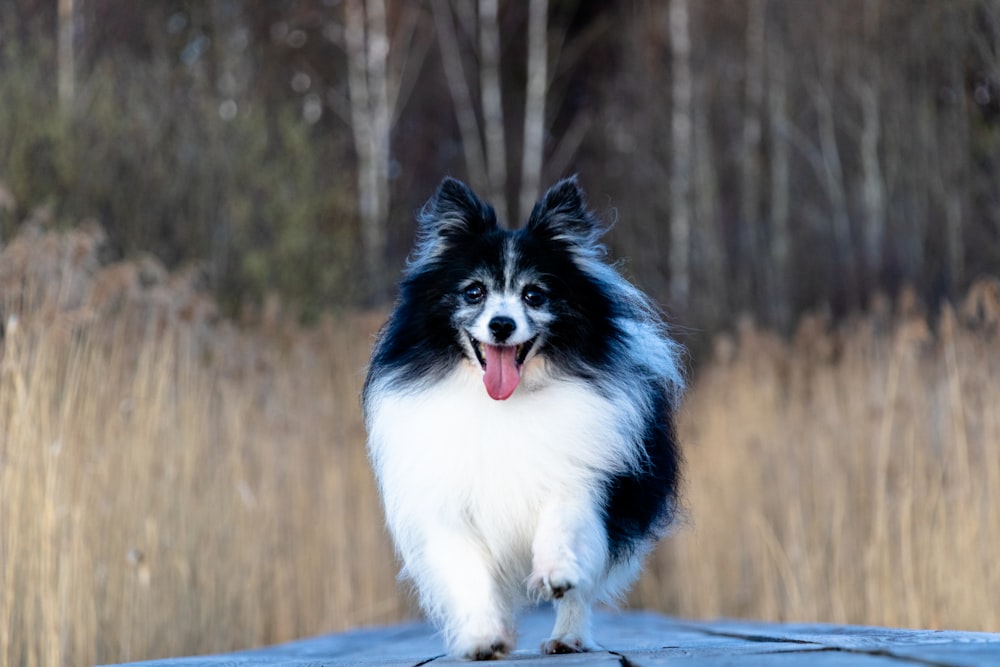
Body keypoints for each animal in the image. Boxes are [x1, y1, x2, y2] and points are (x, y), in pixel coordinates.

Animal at [364, 175, 684, 660]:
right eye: (474, 292)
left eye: (534, 295)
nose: (501, 325)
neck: (501, 403)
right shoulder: (449, 500)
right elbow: (469, 572)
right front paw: (483, 637)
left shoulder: (579, 474)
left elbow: (562, 524)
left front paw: (555, 572)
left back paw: (567, 637)